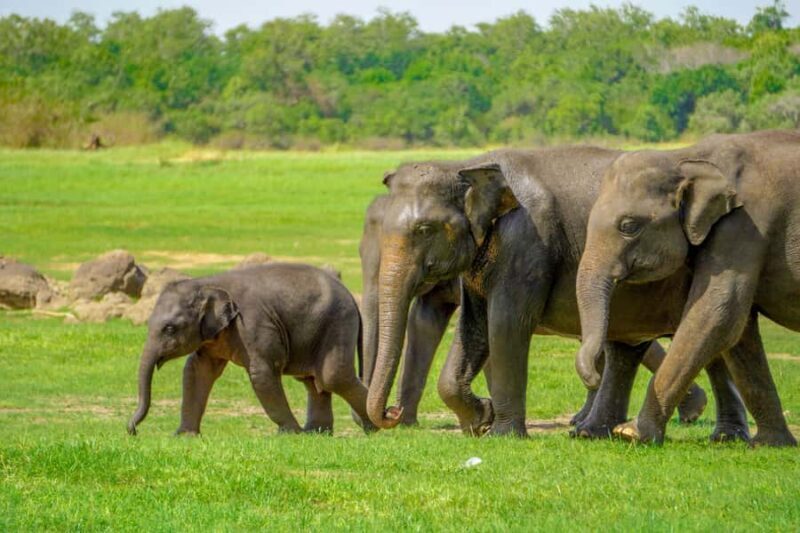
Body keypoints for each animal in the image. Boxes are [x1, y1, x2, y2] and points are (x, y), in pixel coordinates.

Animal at [127, 263, 375, 436]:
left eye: (170, 328)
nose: (132, 431)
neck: (207, 282)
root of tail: (352, 297)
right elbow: (196, 371)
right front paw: (184, 436)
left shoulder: (253, 324)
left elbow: (262, 373)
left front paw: (290, 434)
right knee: (312, 381)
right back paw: (317, 433)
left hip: (337, 324)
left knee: (332, 376)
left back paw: (376, 426)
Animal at [365, 147, 745, 439]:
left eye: (424, 229)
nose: (392, 412)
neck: (470, 163)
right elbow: (474, 326)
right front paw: (481, 420)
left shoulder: (526, 241)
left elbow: (505, 324)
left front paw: (502, 435)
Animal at [575, 129, 800, 446]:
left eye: (629, 226)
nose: (593, 376)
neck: (685, 158)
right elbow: (739, 327)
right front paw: (771, 444)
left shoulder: (744, 226)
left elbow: (716, 314)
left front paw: (630, 432)